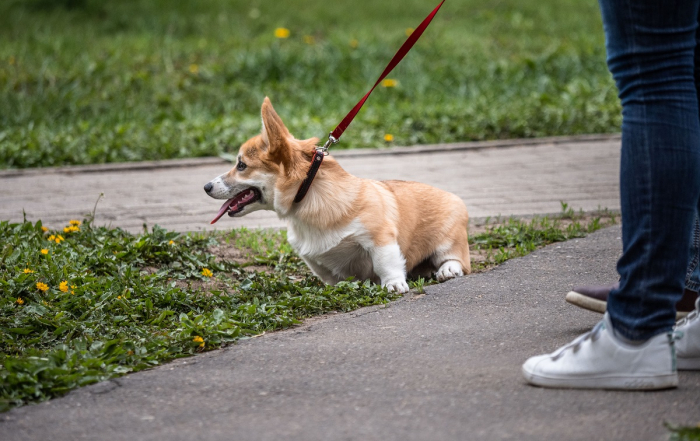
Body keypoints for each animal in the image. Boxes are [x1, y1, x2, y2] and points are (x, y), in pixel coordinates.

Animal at [205, 98, 474, 294]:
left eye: (241, 165)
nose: (206, 187)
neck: (308, 195)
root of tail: (454, 197)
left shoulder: (379, 238)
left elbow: (386, 263)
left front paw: (394, 284)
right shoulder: (314, 259)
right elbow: (330, 275)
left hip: (447, 240)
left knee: (458, 259)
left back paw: (448, 270)